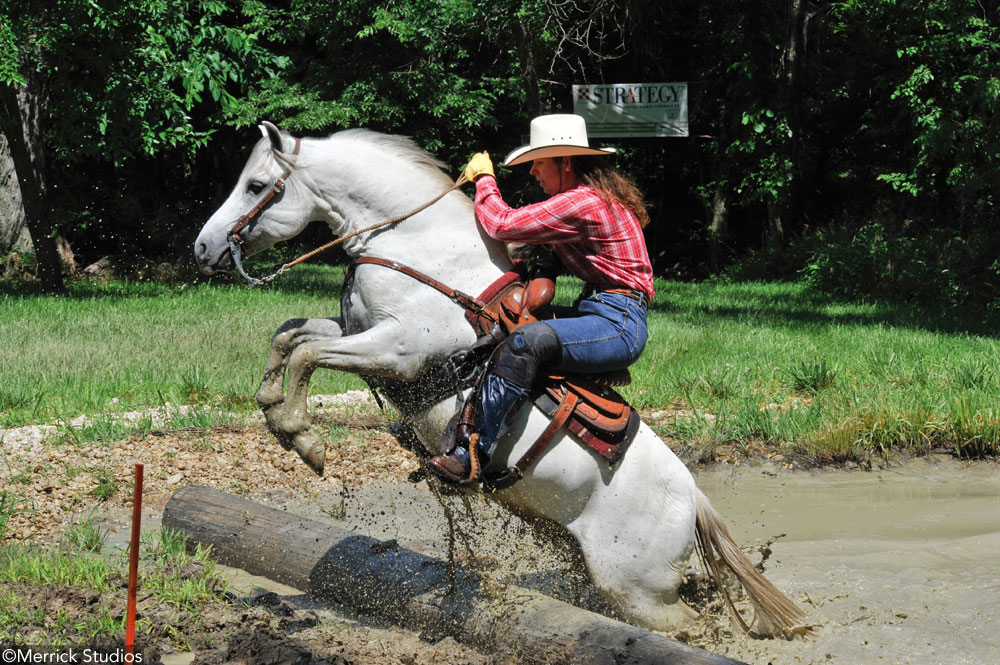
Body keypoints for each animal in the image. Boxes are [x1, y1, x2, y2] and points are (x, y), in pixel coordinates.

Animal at [193, 122, 804, 636]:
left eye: (256, 185)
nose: (203, 247)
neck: (419, 249)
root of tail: (695, 500)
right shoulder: (359, 329)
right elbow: (290, 335)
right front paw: (272, 407)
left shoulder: (398, 351)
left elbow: (307, 353)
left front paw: (304, 440)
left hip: (638, 590)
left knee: (688, 628)